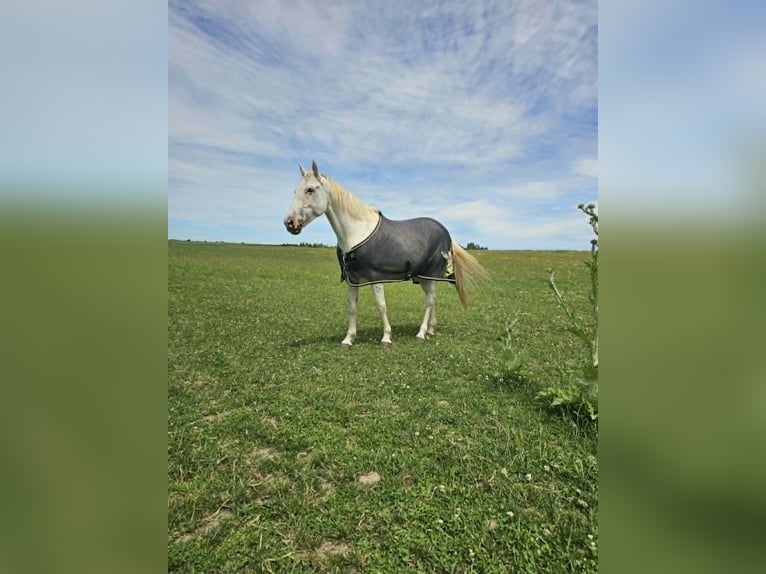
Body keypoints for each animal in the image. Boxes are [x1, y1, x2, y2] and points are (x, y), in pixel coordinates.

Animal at [284, 160, 488, 349]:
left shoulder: (376, 278)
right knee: (432, 300)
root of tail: (445, 231)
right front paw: (348, 339)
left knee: (429, 302)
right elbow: (352, 306)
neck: (356, 232)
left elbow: (381, 306)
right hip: (424, 277)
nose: (290, 223)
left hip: (430, 274)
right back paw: (430, 330)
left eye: (310, 190)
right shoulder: (352, 279)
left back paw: (421, 333)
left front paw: (386, 338)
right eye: (295, 191)